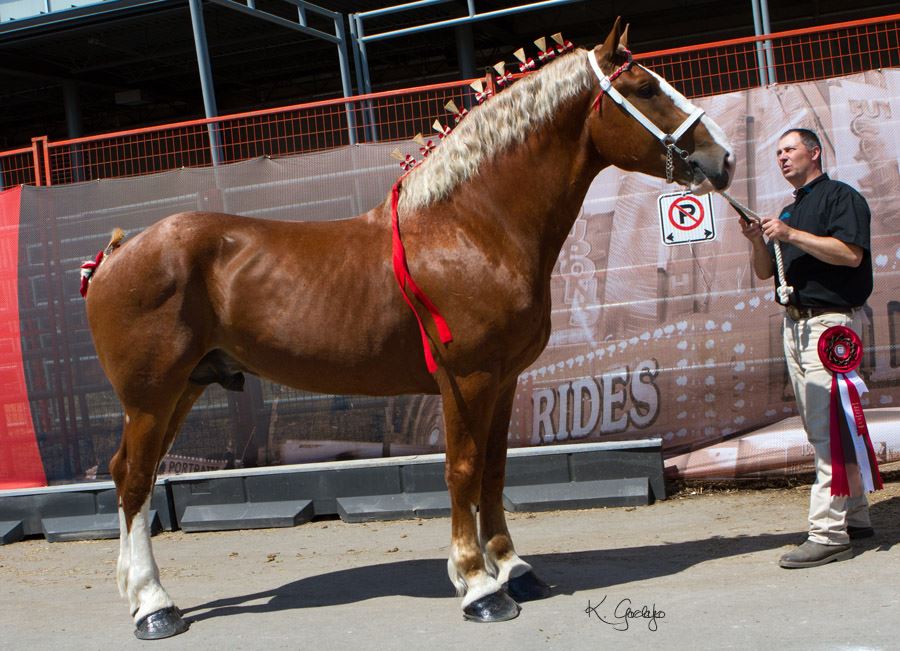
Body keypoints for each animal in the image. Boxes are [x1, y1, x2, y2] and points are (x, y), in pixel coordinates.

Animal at [86, 21, 732, 640]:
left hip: (184, 388)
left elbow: (495, 470)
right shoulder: (466, 380)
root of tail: (115, 255)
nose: (721, 159)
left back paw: (136, 592)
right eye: (644, 88)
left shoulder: (503, 381)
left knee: (129, 476)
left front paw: (513, 568)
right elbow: (462, 470)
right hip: (152, 396)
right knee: (135, 480)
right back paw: (154, 606)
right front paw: (478, 585)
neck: (471, 228)